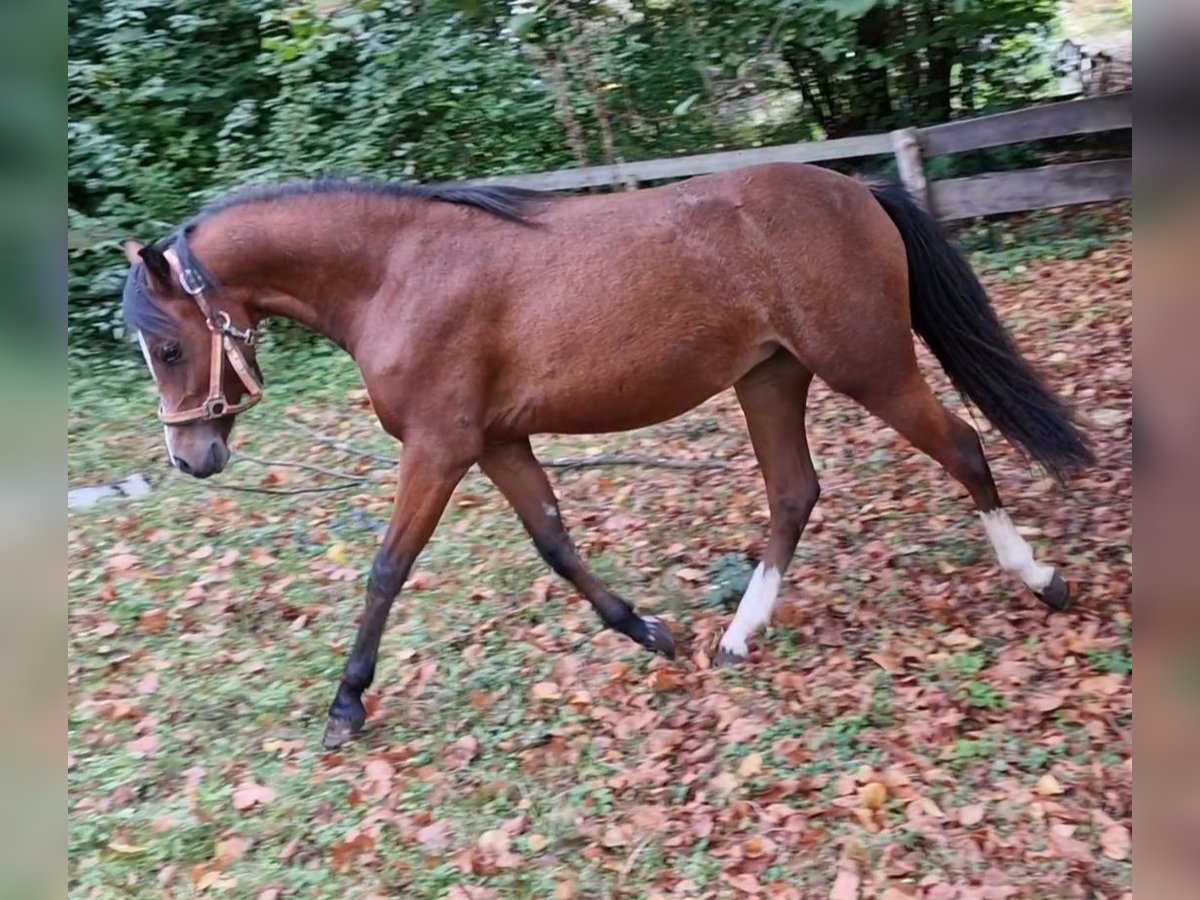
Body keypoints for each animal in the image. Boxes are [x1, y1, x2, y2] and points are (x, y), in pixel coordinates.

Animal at [124, 164, 1099, 753]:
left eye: (167, 347)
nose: (191, 457)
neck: (397, 270)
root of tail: (854, 189)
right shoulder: (496, 441)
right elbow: (556, 543)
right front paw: (650, 632)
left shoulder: (440, 448)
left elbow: (387, 570)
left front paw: (346, 704)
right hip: (772, 378)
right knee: (794, 492)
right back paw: (738, 635)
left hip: (868, 364)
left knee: (963, 450)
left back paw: (1041, 579)